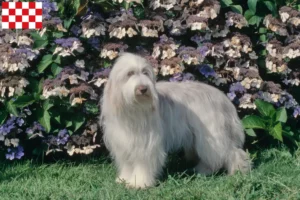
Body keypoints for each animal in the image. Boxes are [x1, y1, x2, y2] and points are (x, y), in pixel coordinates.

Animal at [100, 52, 251, 188]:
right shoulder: (123, 144)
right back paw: (202, 170)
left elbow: (143, 164)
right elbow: (127, 164)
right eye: (130, 74)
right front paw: (124, 179)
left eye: (145, 73)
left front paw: (139, 183)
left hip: (213, 135)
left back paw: (237, 171)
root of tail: (223, 98)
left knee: (230, 153)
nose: (143, 88)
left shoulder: (147, 144)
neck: (134, 108)